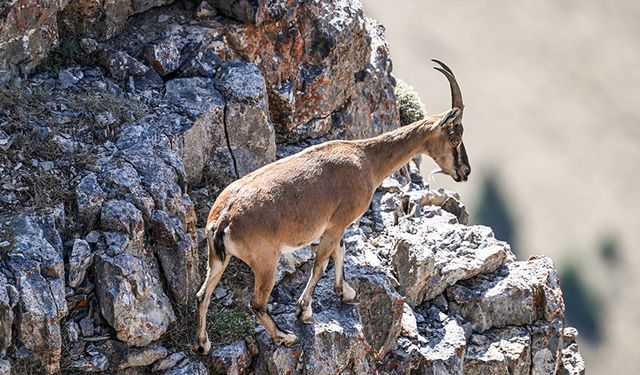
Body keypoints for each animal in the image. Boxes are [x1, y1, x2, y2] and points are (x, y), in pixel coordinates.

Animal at [195, 59, 470, 356]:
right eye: (455, 140)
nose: (465, 172)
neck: (366, 160)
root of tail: (223, 219)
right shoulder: (337, 224)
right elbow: (321, 263)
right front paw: (304, 311)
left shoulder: (337, 226)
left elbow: (340, 252)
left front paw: (345, 292)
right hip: (266, 261)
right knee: (257, 303)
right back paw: (285, 336)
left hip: (217, 258)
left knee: (203, 294)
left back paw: (203, 343)